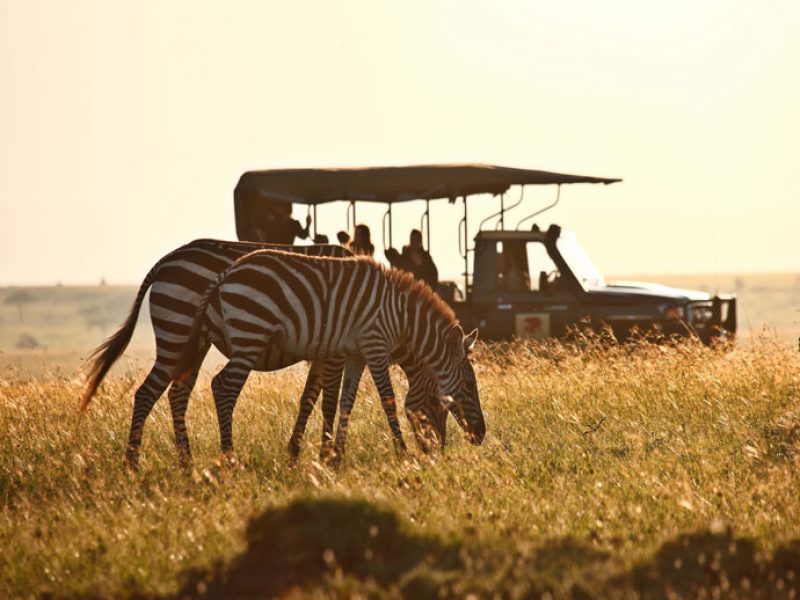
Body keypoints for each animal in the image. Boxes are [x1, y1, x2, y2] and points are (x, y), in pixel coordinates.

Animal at [81, 239, 446, 468]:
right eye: (439, 403)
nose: (439, 452)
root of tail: (163, 262)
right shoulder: (335, 351)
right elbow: (328, 400)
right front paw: (325, 454)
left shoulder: (324, 350)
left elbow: (309, 398)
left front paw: (296, 452)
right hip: (178, 332)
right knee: (148, 393)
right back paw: (133, 463)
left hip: (194, 345)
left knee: (176, 394)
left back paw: (186, 463)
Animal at [173, 248, 484, 460]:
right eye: (470, 384)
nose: (481, 435)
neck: (401, 317)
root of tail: (225, 275)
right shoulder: (374, 345)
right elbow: (388, 400)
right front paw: (403, 453)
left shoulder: (357, 354)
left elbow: (347, 401)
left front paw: (336, 456)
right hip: (250, 335)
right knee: (223, 387)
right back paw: (229, 458)